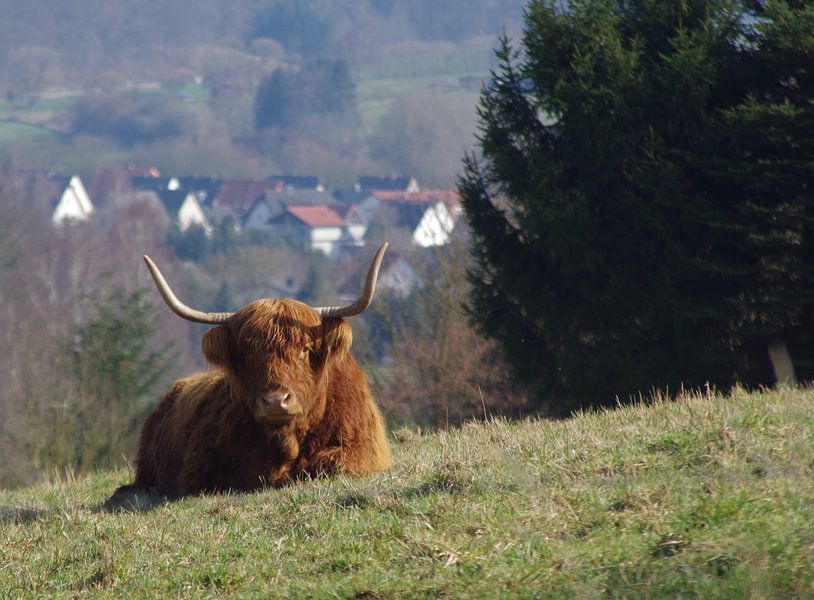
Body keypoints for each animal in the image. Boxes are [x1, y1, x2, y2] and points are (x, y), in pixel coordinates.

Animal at [117, 244, 392, 496]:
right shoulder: (198, 465)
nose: (275, 401)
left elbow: (331, 464)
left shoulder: (363, 451)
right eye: (246, 355)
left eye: (304, 350)